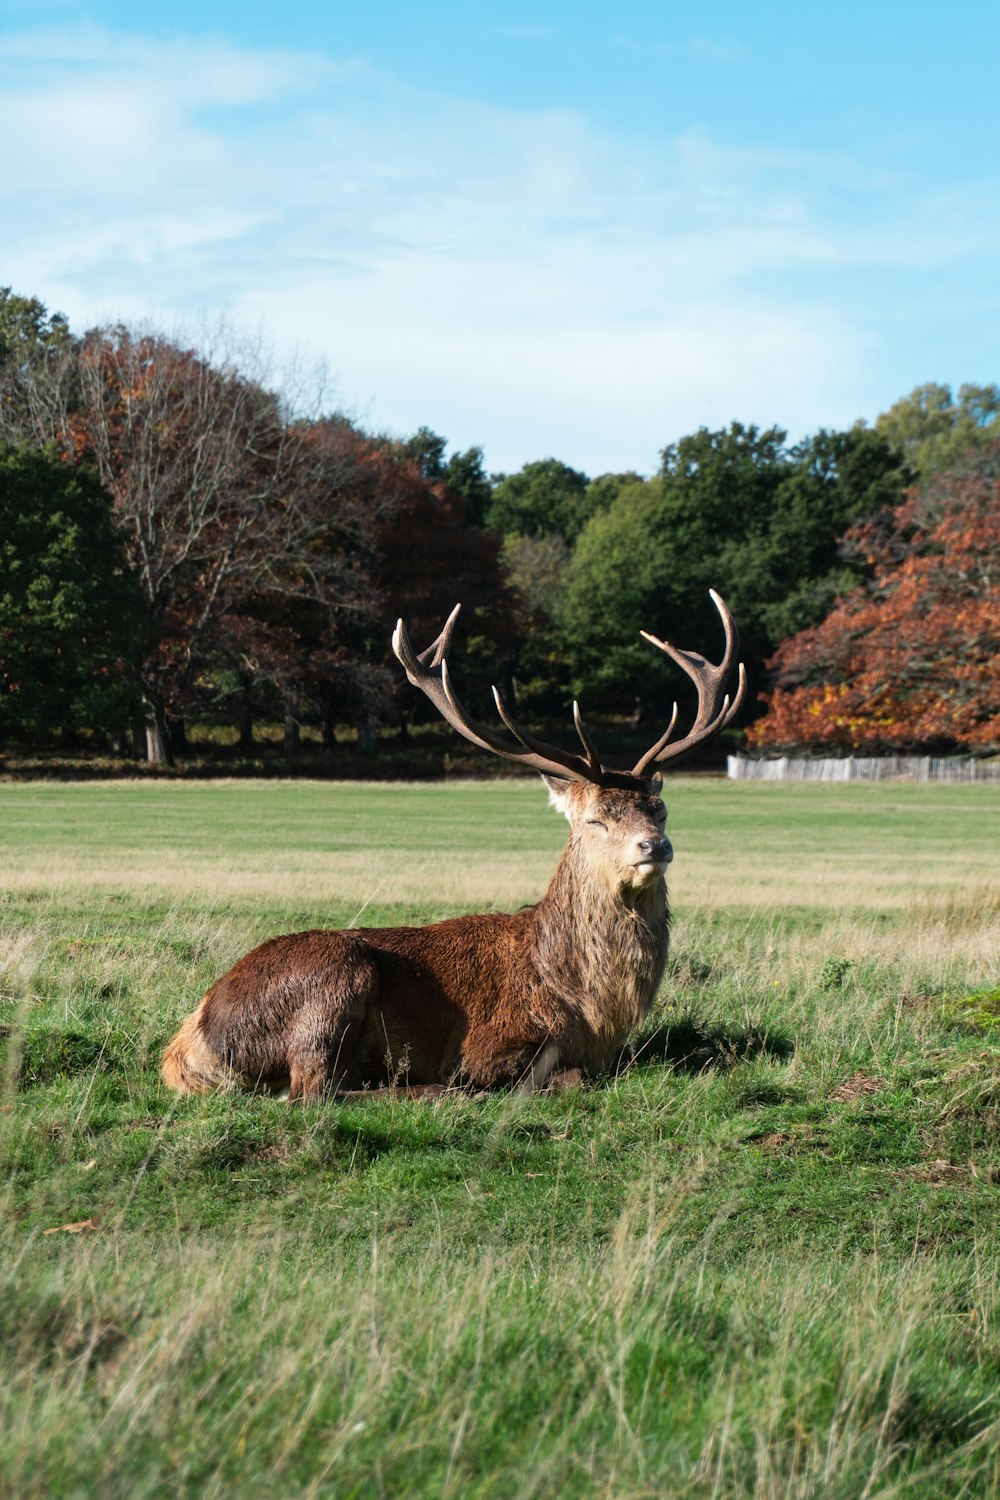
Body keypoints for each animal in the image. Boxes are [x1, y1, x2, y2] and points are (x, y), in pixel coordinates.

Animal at [164, 591, 743, 1098]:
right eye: (595, 820)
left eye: (660, 808)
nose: (654, 846)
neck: (588, 1008)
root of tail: (187, 1045)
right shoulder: (486, 1045)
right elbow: (568, 1077)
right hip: (332, 978)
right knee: (313, 1091)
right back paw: (436, 1092)